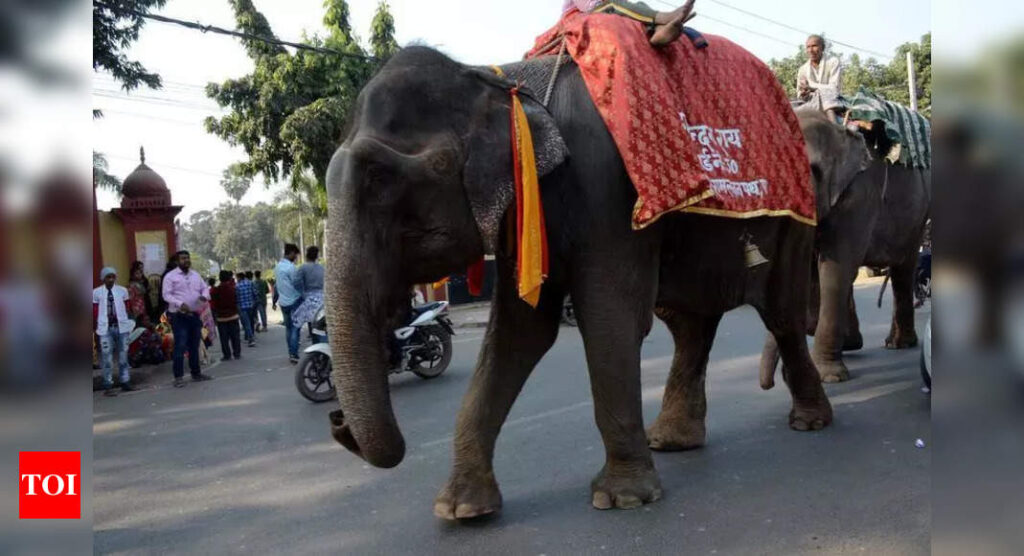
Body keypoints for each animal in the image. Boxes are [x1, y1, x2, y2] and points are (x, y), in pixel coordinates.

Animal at [325, 45, 831, 520]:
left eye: (382, 177)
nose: (337, 423)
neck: (507, 87)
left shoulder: (605, 191)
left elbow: (610, 316)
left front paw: (623, 498)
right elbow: (519, 334)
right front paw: (461, 509)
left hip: (795, 217)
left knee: (780, 313)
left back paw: (810, 423)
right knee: (691, 324)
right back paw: (673, 440)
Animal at [761, 108, 929, 387]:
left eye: (811, 170)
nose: (770, 384)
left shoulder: (859, 195)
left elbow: (835, 269)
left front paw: (828, 377)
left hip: (917, 219)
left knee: (903, 270)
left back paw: (897, 344)